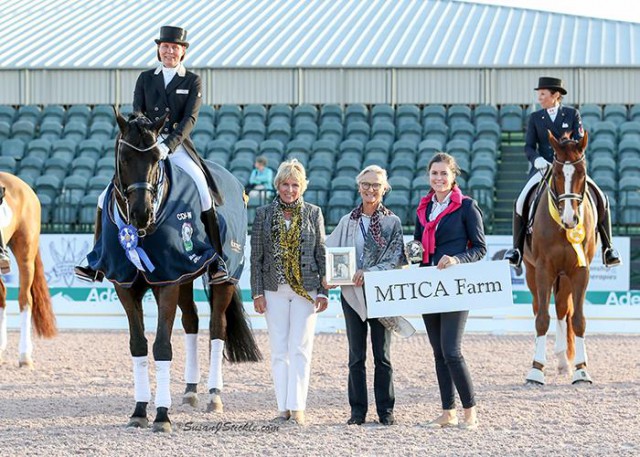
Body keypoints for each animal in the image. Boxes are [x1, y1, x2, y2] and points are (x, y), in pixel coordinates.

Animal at [524, 132, 596, 384]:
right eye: (555, 173)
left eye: (582, 172)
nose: (570, 220)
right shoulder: (543, 269)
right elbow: (542, 319)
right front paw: (536, 370)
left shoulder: (580, 270)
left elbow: (578, 320)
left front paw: (582, 370)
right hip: (531, 272)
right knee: (539, 307)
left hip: (564, 277)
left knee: (563, 310)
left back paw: (565, 362)